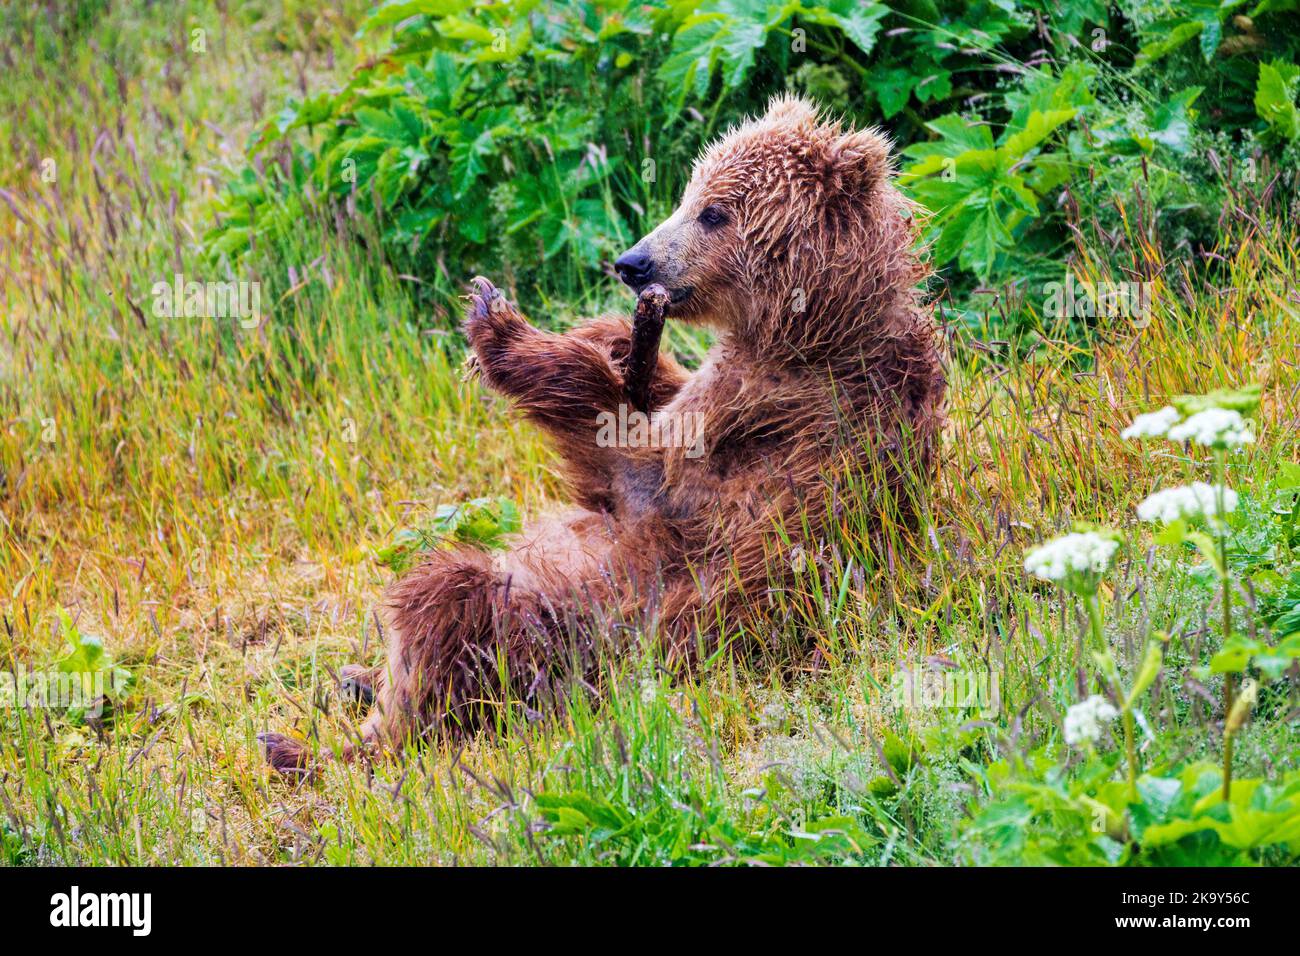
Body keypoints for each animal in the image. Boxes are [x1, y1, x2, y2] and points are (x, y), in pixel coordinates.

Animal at [258, 95, 946, 770]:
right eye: (688, 193)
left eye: (714, 212)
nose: (633, 263)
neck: (810, 326)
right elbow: (647, 392)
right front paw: (617, 339)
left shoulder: (767, 429)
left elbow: (628, 462)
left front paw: (498, 323)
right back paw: (353, 681)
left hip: (557, 634)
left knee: (449, 603)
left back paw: (323, 741)